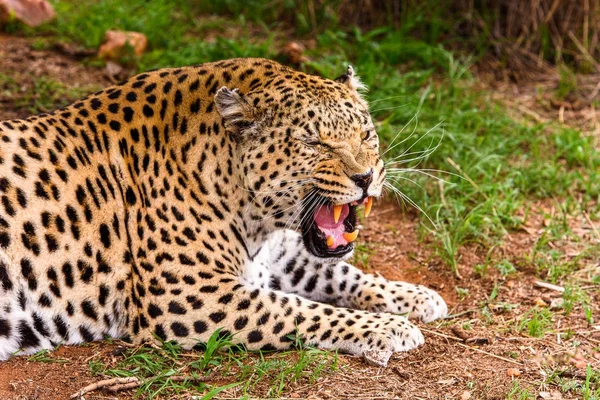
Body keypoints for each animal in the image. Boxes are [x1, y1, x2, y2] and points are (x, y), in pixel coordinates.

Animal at [0, 57, 446, 368]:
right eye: (314, 142)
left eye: (366, 134)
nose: (366, 177)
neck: (255, 218)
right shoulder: (188, 294)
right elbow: (299, 309)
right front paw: (389, 328)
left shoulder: (274, 255)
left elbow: (337, 272)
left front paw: (417, 296)